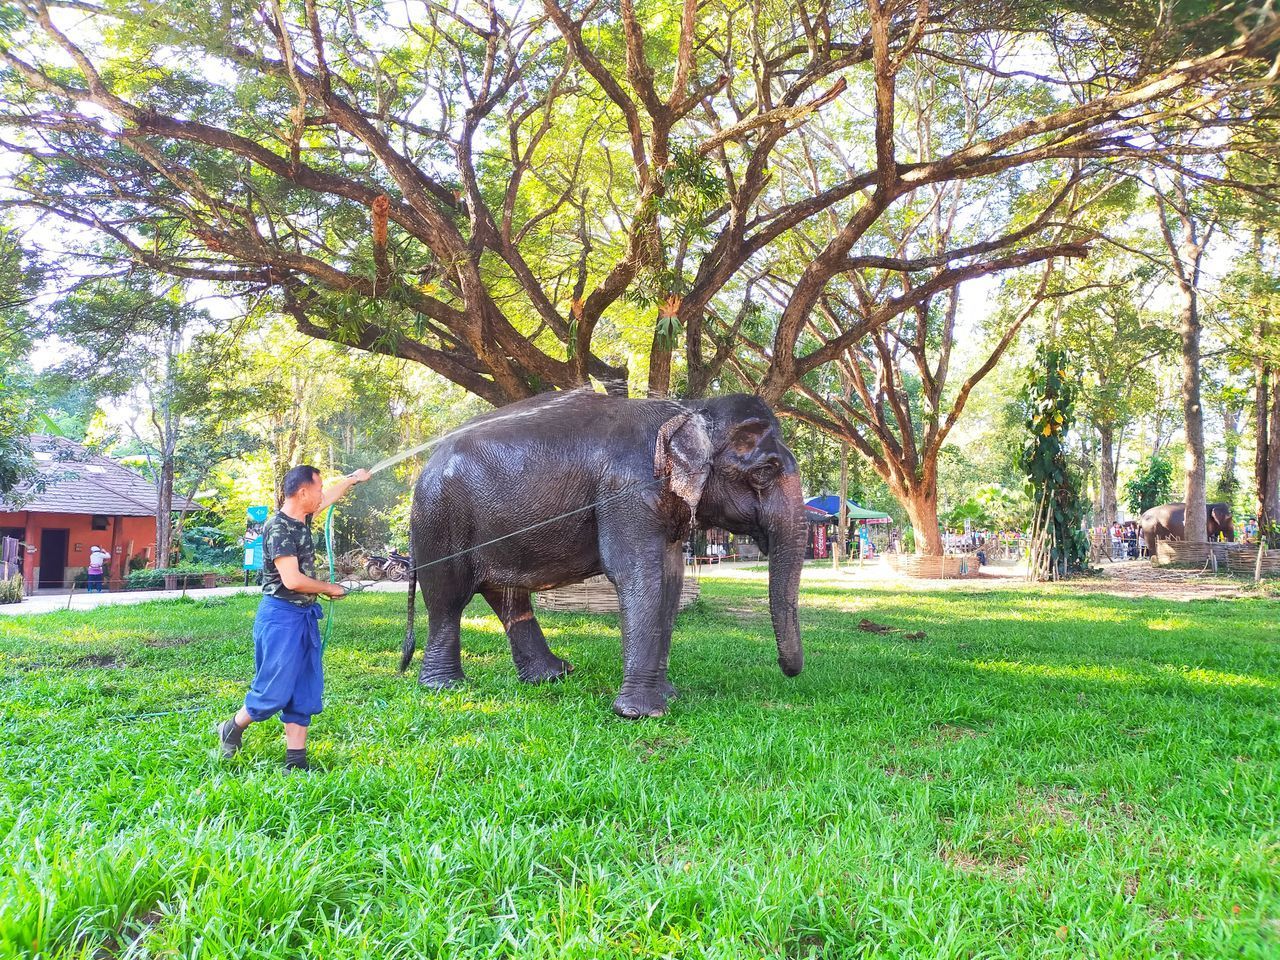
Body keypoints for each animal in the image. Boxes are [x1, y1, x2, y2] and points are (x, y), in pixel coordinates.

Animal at [394, 386, 803, 716]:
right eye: (765, 471)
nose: (787, 670)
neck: (690, 409)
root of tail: (426, 463)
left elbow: (670, 581)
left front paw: (668, 696)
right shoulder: (627, 490)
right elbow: (639, 576)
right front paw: (642, 714)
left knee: (507, 595)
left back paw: (552, 676)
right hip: (440, 518)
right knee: (448, 598)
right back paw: (445, 686)